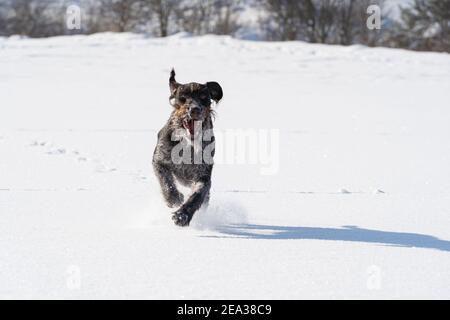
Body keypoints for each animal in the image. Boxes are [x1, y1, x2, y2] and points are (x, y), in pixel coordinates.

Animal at [153, 69, 223, 226]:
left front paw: (182, 215)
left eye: (204, 97)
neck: (187, 144)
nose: (195, 109)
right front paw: (174, 199)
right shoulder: (159, 161)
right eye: (183, 98)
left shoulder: (203, 176)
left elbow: (197, 196)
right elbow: (166, 182)